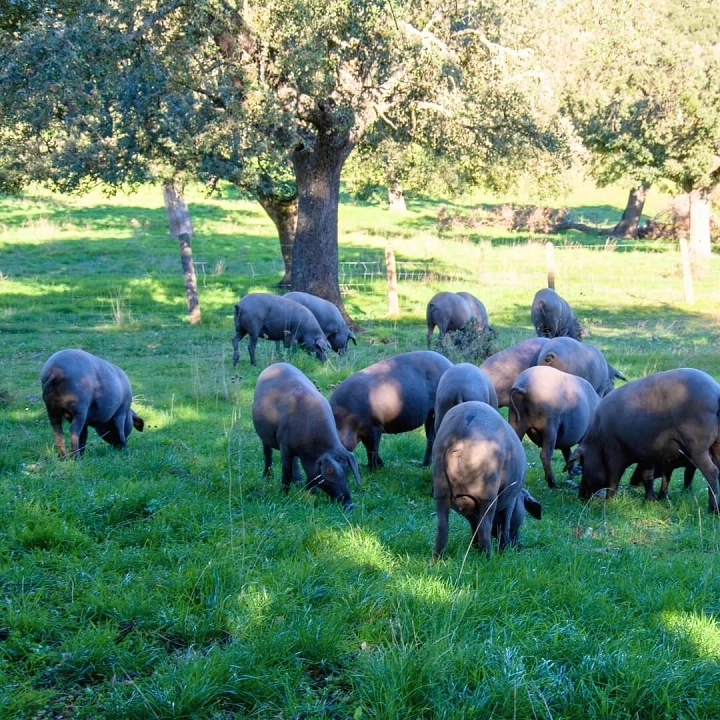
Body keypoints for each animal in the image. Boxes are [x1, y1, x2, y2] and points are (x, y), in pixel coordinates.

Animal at [250, 362, 360, 510]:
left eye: (346, 469)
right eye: (329, 471)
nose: (350, 504)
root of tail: (275, 364)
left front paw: (311, 493)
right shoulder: (284, 445)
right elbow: (286, 470)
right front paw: (284, 495)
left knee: (294, 461)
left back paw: (298, 482)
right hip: (264, 436)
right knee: (268, 453)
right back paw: (267, 477)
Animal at [434, 402, 540, 560]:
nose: (517, 546)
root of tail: (459, 441)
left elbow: (474, 529)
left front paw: (474, 548)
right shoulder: (510, 501)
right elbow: (505, 525)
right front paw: (502, 551)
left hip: (440, 491)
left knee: (442, 527)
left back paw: (437, 559)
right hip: (487, 496)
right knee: (485, 528)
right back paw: (488, 558)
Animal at [568, 368, 720, 516]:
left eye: (583, 463)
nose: (580, 496)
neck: (598, 441)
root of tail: (716, 392)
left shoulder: (614, 450)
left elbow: (614, 476)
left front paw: (609, 501)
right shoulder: (647, 455)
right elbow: (648, 477)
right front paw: (649, 501)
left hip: (697, 446)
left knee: (711, 471)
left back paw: (713, 511)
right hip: (716, 445)